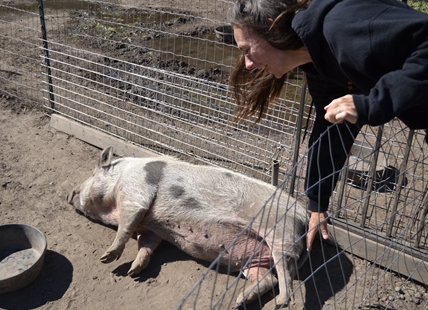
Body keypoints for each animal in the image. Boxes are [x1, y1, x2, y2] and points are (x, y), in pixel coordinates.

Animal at [66, 147, 308, 306]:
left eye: (93, 174)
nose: (69, 193)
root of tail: (304, 215)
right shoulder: (151, 228)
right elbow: (147, 245)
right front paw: (134, 271)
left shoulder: (136, 193)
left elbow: (126, 226)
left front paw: (106, 258)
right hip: (254, 257)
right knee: (268, 278)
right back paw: (239, 302)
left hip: (281, 235)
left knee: (285, 277)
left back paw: (279, 302)